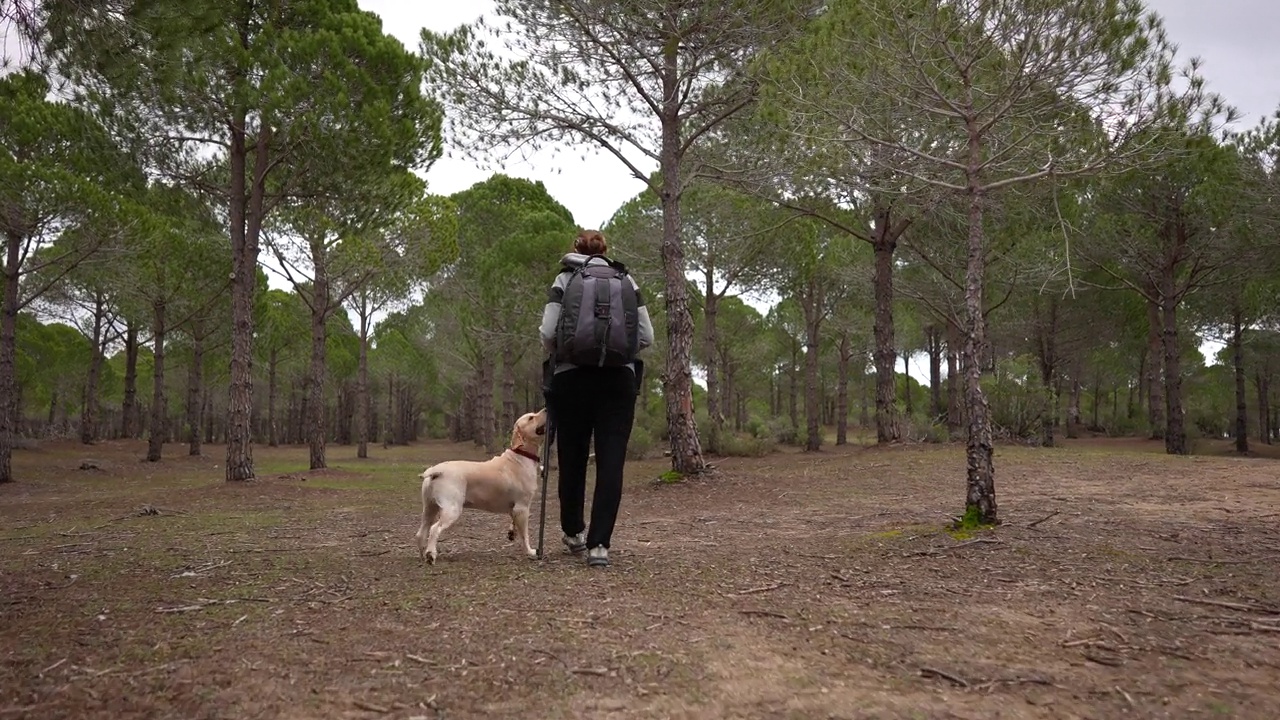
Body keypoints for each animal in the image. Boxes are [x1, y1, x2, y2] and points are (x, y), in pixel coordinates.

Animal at [414, 407, 545, 563]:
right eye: (531, 418)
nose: (546, 409)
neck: (521, 456)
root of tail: (436, 470)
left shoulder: (514, 509)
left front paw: (511, 533)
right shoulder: (523, 507)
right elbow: (524, 535)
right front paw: (530, 552)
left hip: (429, 508)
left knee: (421, 533)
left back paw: (423, 555)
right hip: (452, 509)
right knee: (434, 529)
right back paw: (430, 555)